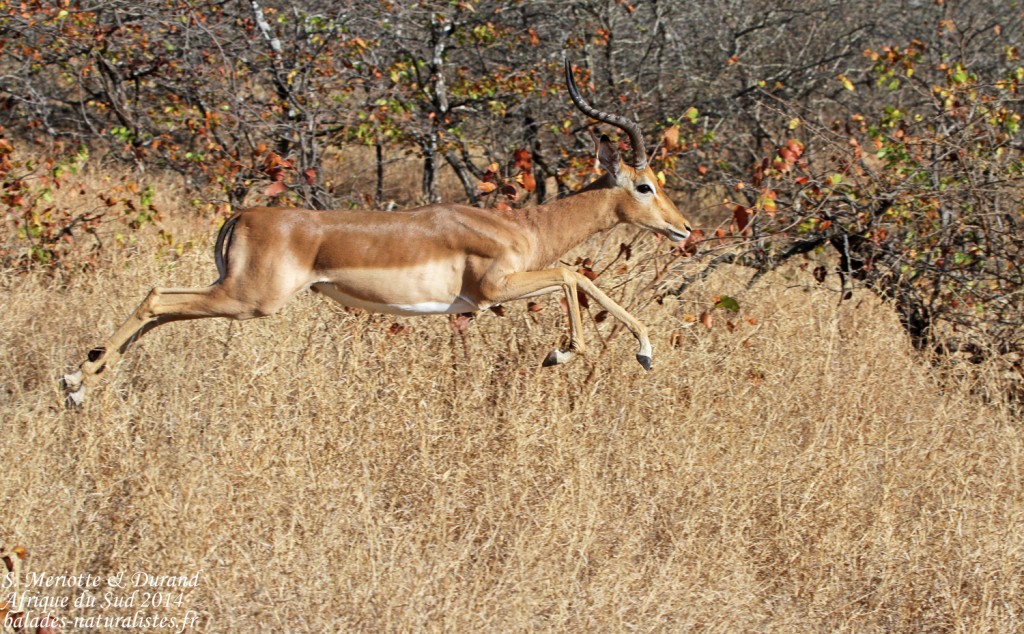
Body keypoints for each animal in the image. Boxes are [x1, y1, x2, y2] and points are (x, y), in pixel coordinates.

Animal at [62, 60, 692, 405]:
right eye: (643, 185)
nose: (685, 229)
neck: (520, 226)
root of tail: (242, 216)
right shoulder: (491, 291)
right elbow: (572, 274)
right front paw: (587, 353)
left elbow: (576, 277)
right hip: (248, 299)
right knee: (154, 298)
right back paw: (75, 382)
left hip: (231, 295)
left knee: (159, 307)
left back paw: (88, 375)